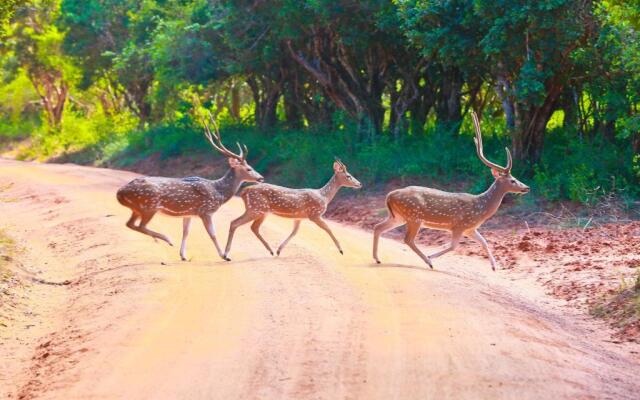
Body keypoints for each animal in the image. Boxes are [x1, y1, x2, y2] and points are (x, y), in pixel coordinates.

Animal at [115, 114, 262, 260]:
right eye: (249, 169)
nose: (261, 178)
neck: (219, 193)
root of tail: (119, 193)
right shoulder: (205, 211)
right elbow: (212, 234)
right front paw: (224, 256)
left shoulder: (189, 213)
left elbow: (186, 232)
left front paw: (183, 255)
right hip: (148, 206)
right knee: (141, 225)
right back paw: (168, 239)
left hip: (137, 208)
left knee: (130, 224)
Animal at [222, 159, 360, 260]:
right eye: (348, 176)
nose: (359, 184)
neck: (324, 196)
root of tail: (244, 192)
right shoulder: (314, 214)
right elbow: (328, 229)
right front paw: (341, 250)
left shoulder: (299, 217)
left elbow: (294, 232)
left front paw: (279, 250)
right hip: (256, 209)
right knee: (235, 223)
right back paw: (226, 254)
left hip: (260, 211)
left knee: (253, 227)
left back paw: (271, 251)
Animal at [372, 111, 528, 270]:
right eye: (513, 180)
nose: (526, 187)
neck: (481, 208)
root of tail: (389, 195)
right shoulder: (460, 225)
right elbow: (453, 246)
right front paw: (431, 256)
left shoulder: (470, 228)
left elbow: (484, 241)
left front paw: (494, 267)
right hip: (413, 217)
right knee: (407, 239)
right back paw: (428, 262)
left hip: (398, 216)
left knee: (378, 227)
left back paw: (377, 258)